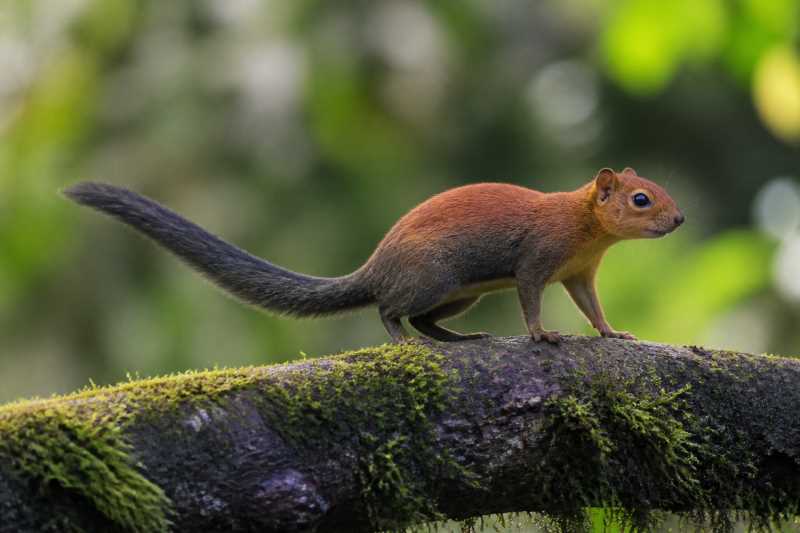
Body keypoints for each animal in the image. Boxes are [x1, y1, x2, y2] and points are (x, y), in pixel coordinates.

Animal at [64, 167, 683, 344]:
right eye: (641, 198)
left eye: (656, 189)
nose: (679, 220)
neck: (585, 231)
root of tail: (375, 266)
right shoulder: (536, 259)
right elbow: (531, 299)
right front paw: (541, 335)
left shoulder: (580, 273)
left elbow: (592, 307)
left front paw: (613, 332)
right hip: (434, 278)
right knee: (390, 310)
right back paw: (406, 343)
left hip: (457, 296)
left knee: (424, 319)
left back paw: (459, 339)